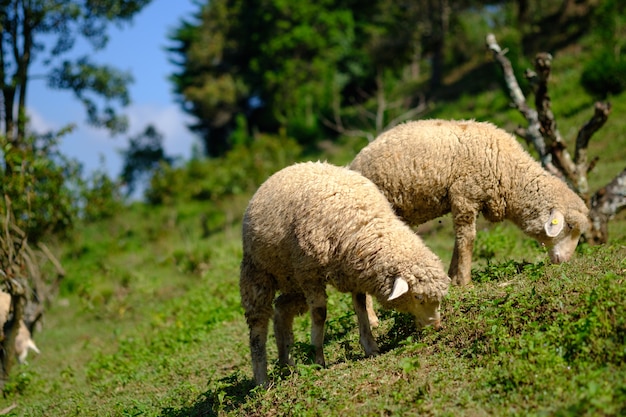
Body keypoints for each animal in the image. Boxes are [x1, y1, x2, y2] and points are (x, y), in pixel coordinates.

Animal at [239, 161, 448, 386]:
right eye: (417, 297)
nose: (436, 327)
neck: (361, 224)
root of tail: (286, 168)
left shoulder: (354, 271)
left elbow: (360, 307)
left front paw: (370, 346)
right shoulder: (310, 273)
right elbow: (320, 314)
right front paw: (318, 359)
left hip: (291, 278)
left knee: (281, 310)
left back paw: (287, 363)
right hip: (258, 272)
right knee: (258, 325)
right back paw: (262, 380)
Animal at [348, 118, 588, 286]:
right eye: (569, 226)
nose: (565, 261)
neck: (509, 173)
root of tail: (353, 163)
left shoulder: (465, 200)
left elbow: (459, 239)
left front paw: (454, 278)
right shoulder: (465, 194)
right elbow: (468, 239)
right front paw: (465, 281)